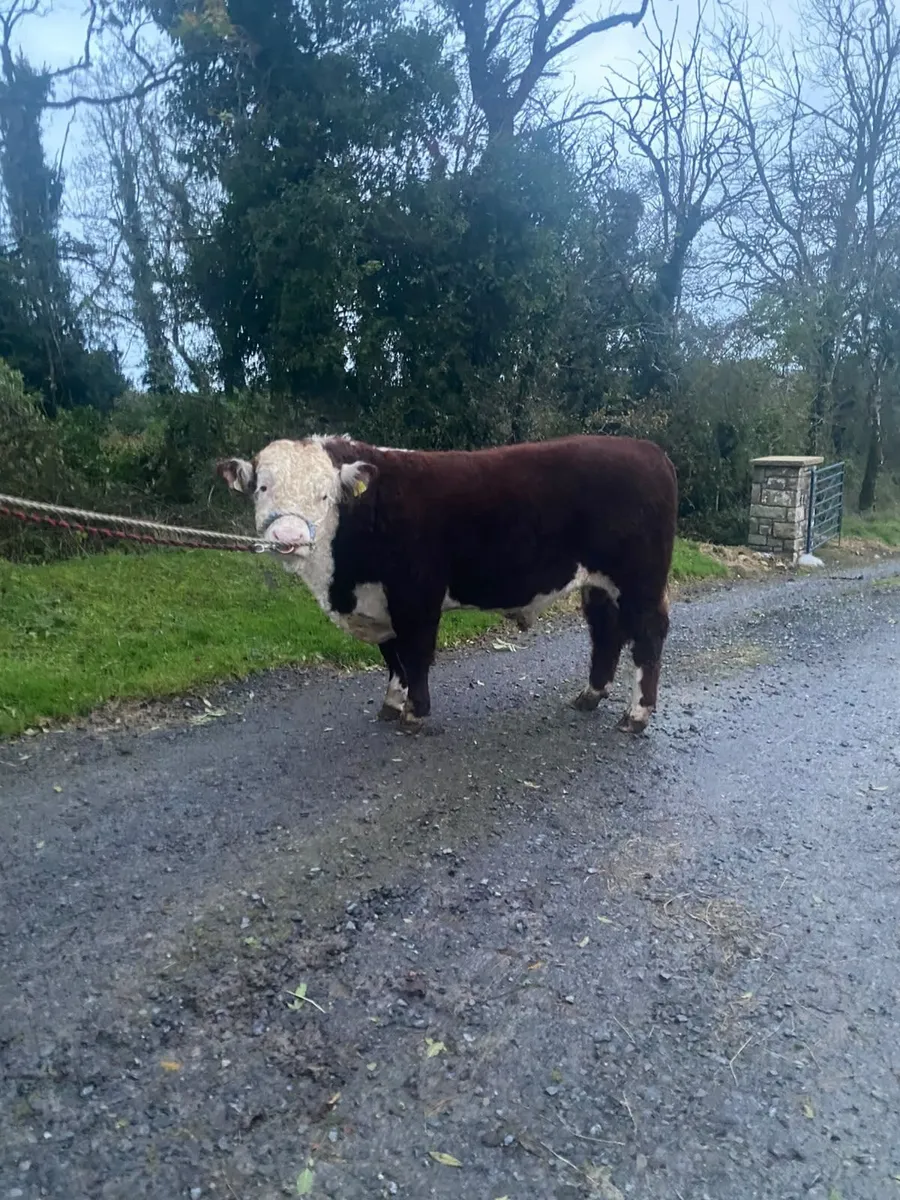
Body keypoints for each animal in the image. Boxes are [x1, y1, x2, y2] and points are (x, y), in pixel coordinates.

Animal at [217, 434, 677, 734]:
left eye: (324, 495)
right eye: (262, 486)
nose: (289, 537)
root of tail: (648, 450)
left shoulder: (416, 595)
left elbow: (416, 653)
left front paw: (415, 713)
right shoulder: (381, 601)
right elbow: (393, 656)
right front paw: (392, 703)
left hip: (640, 581)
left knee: (647, 636)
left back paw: (636, 715)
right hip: (599, 585)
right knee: (607, 633)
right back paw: (590, 695)